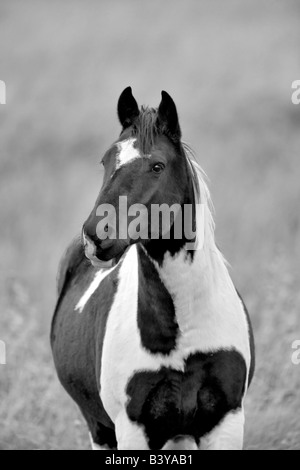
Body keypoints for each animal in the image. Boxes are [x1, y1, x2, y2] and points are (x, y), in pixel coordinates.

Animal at [50, 88, 254, 452]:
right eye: (106, 161)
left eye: (157, 165)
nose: (95, 236)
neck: (183, 333)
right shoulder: (133, 429)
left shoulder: (226, 422)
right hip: (100, 429)